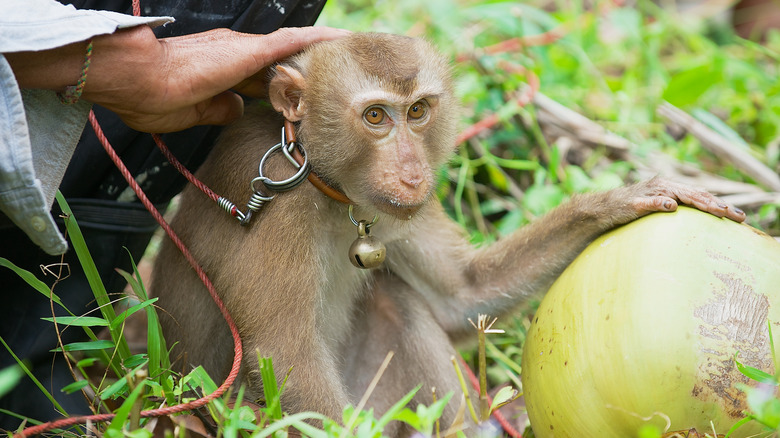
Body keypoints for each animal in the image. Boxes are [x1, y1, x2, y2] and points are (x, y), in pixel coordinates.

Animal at [151, 31, 744, 434]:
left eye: (417, 111)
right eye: (375, 117)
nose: (414, 172)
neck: (324, 185)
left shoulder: (394, 209)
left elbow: (462, 296)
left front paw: (613, 203)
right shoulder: (279, 201)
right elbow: (286, 354)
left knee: (396, 301)